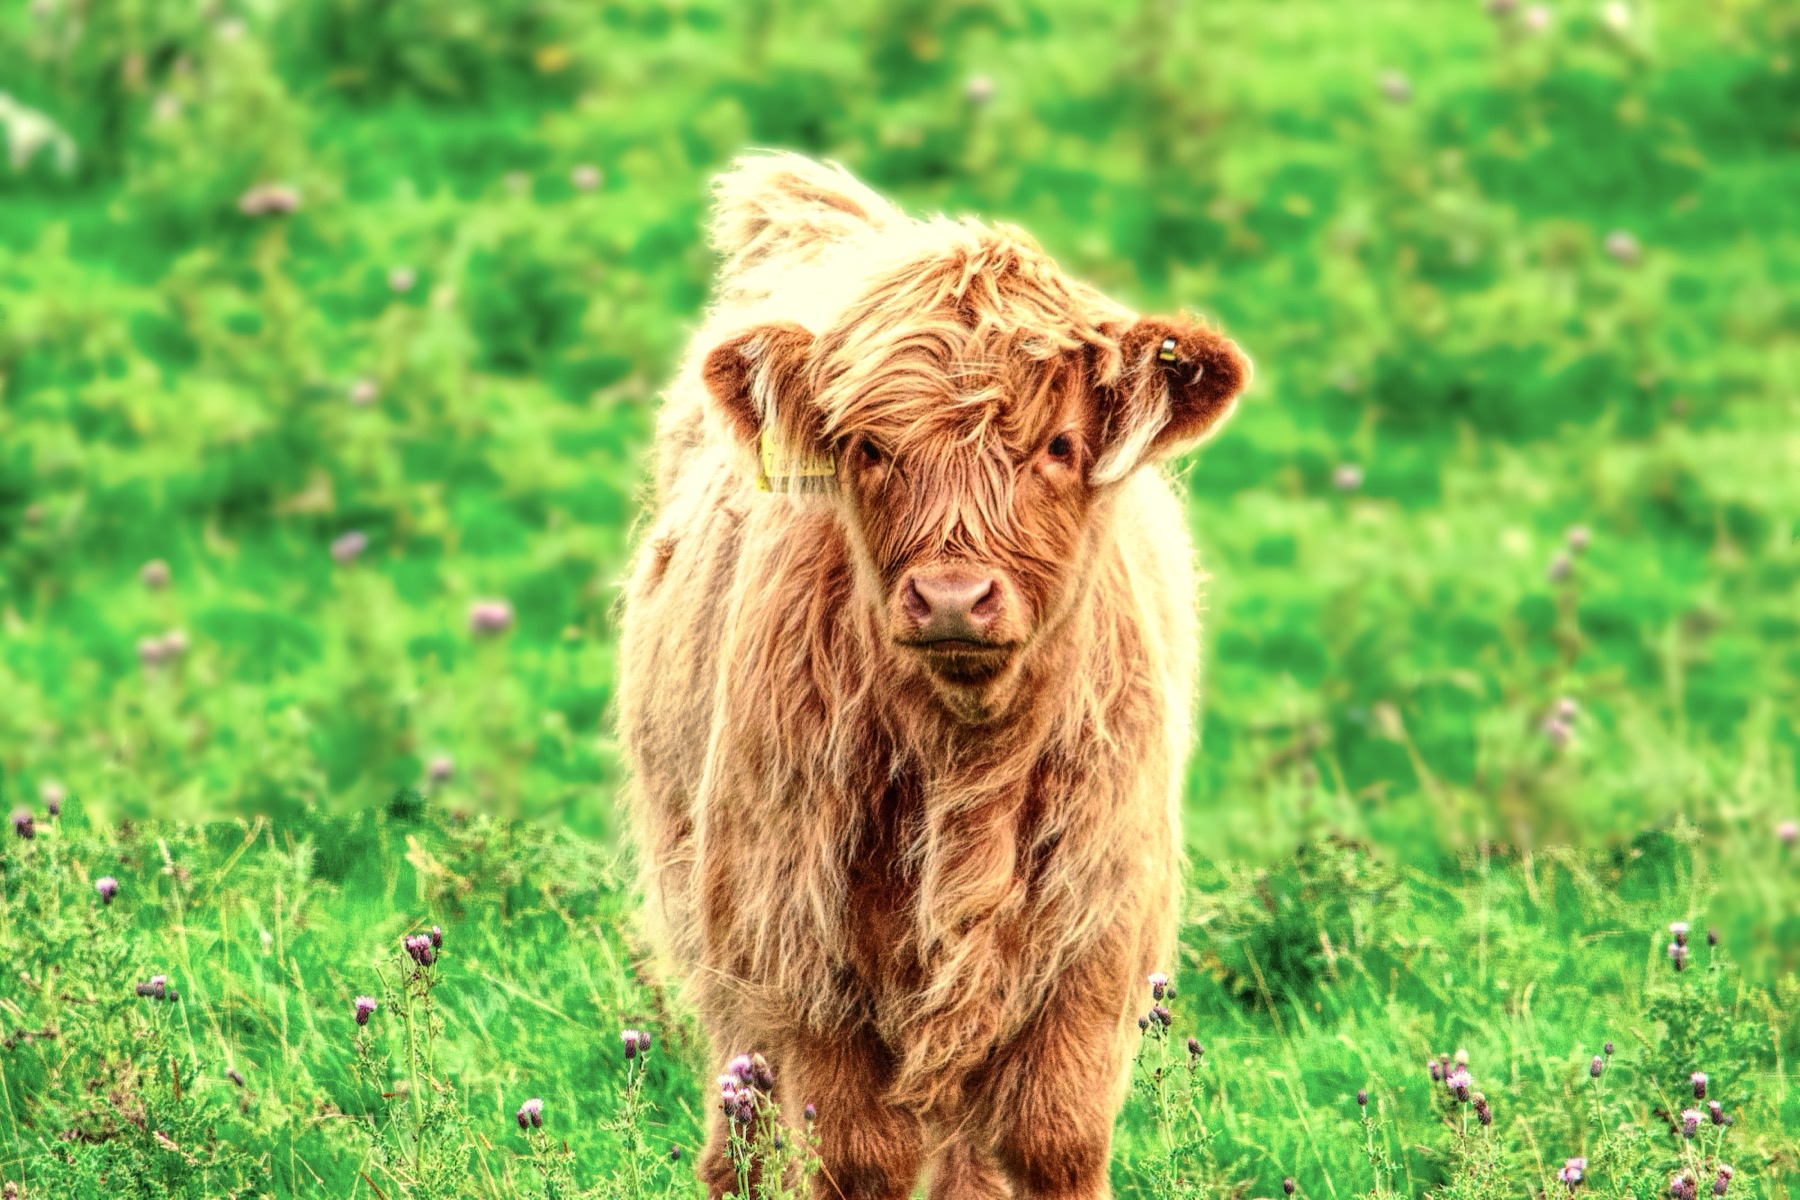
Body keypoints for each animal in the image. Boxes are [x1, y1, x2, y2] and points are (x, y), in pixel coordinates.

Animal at [617, 152, 1250, 1200]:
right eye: (870, 449)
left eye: (1058, 445)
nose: (954, 597)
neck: (964, 764)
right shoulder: (797, 946)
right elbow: (856, 1154)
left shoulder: (1095, 935)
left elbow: (1052, 1137)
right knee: (741, 1132)